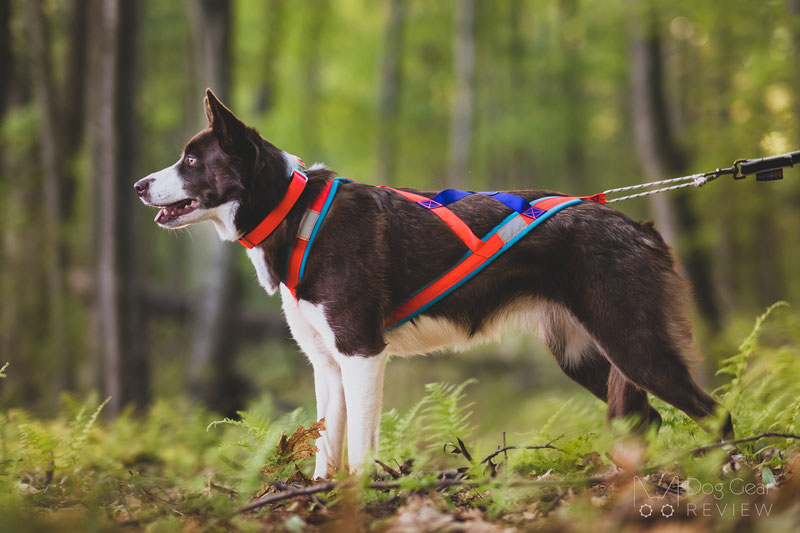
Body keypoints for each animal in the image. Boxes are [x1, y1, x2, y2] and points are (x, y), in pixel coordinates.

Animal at [136, 89, 732, 476]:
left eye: (192, 159)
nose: (139, 184)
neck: (295, 212)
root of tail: (639, 227)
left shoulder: (361, 352)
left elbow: (359, 452)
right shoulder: (326, 364)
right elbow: (327, 454)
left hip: (633, 342)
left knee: (714, 413)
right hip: (584, 355)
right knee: (647, 420)